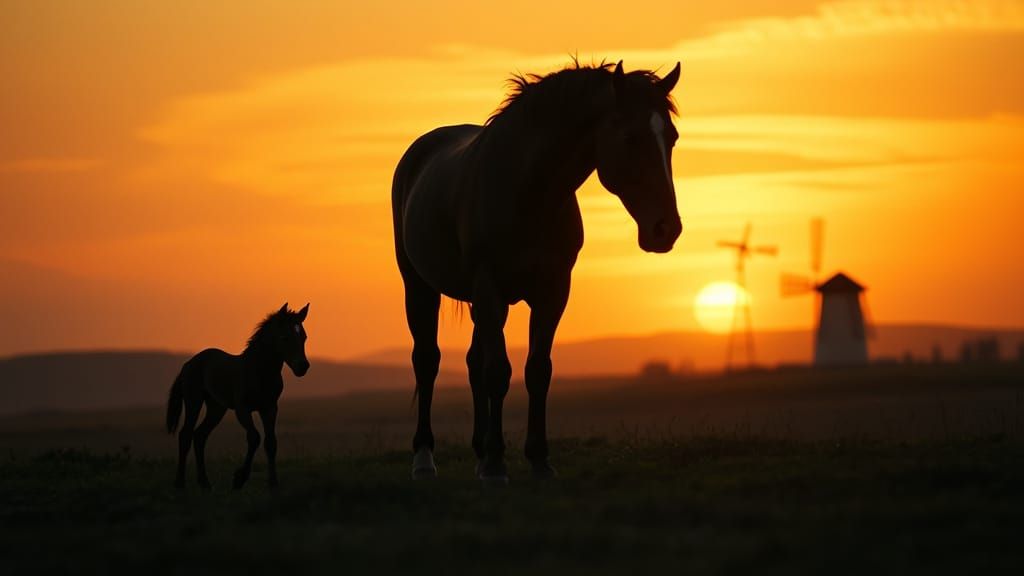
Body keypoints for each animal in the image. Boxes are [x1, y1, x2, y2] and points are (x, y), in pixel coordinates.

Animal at [161, 303, 307, 485]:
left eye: (304, 337)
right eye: (284, 337)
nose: (303, 366)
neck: (258, 372)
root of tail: (188, 364)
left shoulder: (269, 408)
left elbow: (271, 443)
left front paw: (272, 483)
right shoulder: (242, 409)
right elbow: (254, 437)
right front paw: (239, 478)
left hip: (216, 408)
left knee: (200, 435)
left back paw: (205, 483)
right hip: (193, 401)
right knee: (186, 435)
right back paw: (180, 482)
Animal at [389, 59, 679, 479]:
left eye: (671, 137)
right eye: (630, 137)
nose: (666, 229)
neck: (528, 193)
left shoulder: (552, 292)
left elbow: (537, 371)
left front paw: (538, 459)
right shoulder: (489, 288)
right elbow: (498, 372)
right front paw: (497, 464)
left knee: (473, 362)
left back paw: (478, 451)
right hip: (420, 287)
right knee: (427, 361)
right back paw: (425, 458)